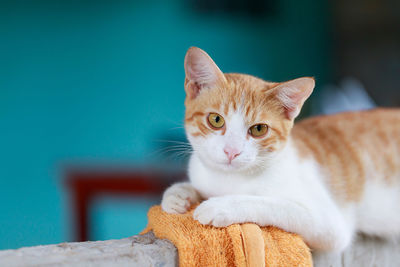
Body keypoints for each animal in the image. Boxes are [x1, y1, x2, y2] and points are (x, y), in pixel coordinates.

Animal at [160, 46, 400, 253]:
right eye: (216, 120)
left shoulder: (330, 224)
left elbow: (273, 204)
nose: (232, 151)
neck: (230, 179)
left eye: (258, 129)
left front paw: (223, 205)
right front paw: (178, 194)